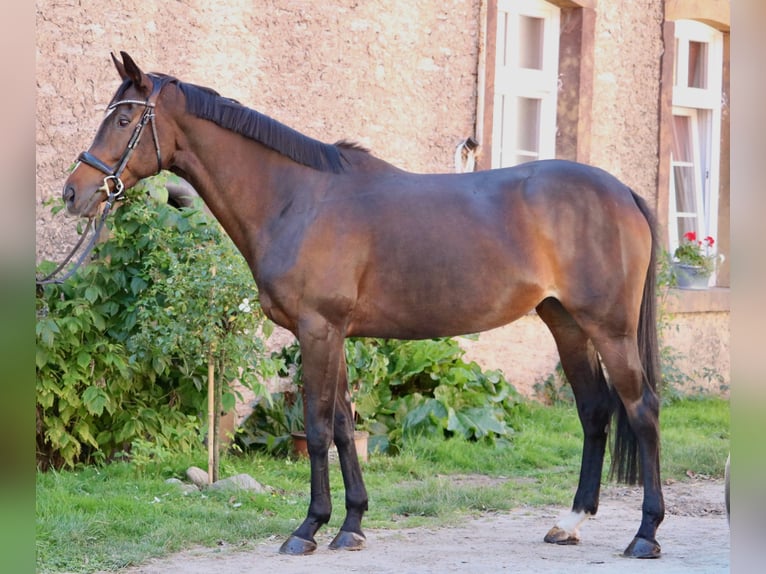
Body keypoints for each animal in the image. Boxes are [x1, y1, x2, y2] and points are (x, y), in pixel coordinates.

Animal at [63, 53, 664, 560]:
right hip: (566, 322)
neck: (296, 198)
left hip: (609, 328)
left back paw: (645, 534)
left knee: (642, 409)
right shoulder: (333, 334)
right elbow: (344, 426)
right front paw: (351, 525)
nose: (75, 192)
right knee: (595, 411)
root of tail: (624, 193)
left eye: (124, 120)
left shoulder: (317, 330)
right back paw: (571, 521)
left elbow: (318, 428)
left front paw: (307, 528)